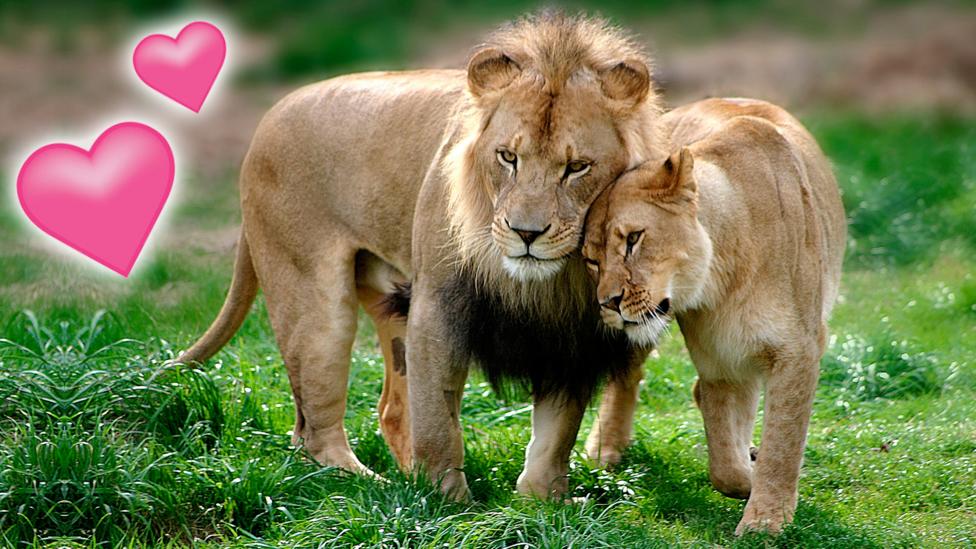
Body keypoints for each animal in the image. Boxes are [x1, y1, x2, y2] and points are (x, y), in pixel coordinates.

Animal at [177, 12, 664, 498]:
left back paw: (404, 479)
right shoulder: (438, 305)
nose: (526, 233)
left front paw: (543, 501)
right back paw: (371, 486)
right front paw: (448, 501)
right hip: (314, 305)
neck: (539, 281)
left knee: (390, 409)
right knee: (312, 432)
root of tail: (268, 118)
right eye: (508, 157)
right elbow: (438, 419)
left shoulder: (570, 333)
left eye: (577, 167)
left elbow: (556, 431)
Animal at [580, 97, 848, 532]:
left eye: (634, 239)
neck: (725, 276)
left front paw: (764, 522)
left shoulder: (797, 352)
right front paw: (748, 484)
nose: (609, 302)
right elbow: (723, 459)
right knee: (629, 379)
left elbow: (783, 441)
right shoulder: (719, 361)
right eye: (591, 260)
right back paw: (603, 451)